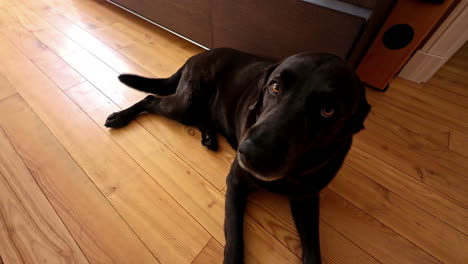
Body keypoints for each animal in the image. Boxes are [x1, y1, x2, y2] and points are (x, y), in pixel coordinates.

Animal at [105, 48, 370, 262]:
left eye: (328, 110)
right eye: (275, 86)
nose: (251, 152)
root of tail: (198, 55)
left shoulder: (307, 198)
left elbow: (314, 250)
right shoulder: (236, 182)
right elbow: (234, 238)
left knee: (200, 116)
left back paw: (209, 136)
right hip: (185, 103)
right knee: (151, 99)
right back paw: (120, 117)